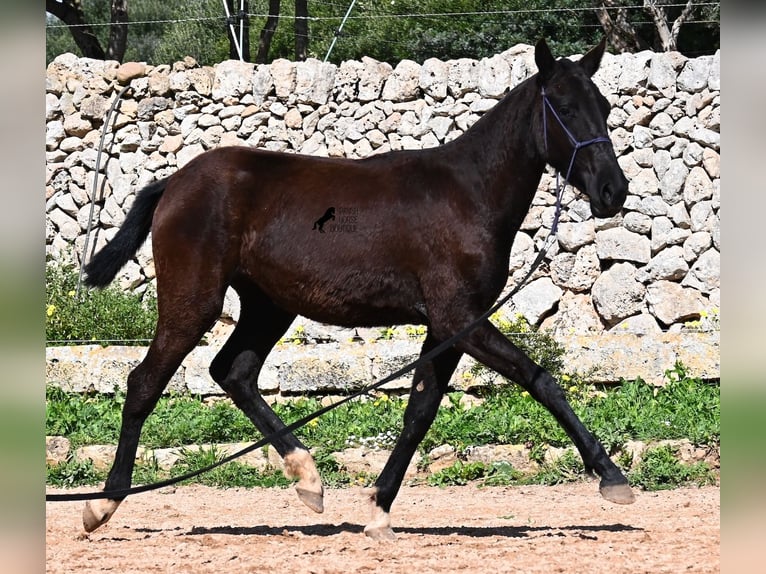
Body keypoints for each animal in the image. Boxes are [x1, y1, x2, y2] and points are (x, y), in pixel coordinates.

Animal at [81, 38, 632, 544]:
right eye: (564, 107)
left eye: (603, 107)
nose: (614, 191)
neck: (469, 194)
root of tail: (174, 184)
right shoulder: (460, 318)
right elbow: (540, 380)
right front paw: (612, 478)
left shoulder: (447, 327)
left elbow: (419, 412)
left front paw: (378, 510)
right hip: (194, 301)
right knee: (145, 382)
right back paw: (102, 505)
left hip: (268, 306)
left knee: (234, 373)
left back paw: (308, 479)